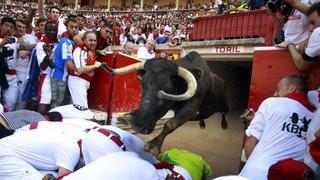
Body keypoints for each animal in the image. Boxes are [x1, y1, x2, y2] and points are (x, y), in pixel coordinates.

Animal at [101, 51, 229, 155]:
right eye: (143, 84)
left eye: (168, 88)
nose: (139, 125)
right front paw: (127, 116)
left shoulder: (192, 109)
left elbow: (171, 123)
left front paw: (154, 145)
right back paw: (202, 124)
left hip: (224, 105)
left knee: (224, 112)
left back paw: (224, 124)